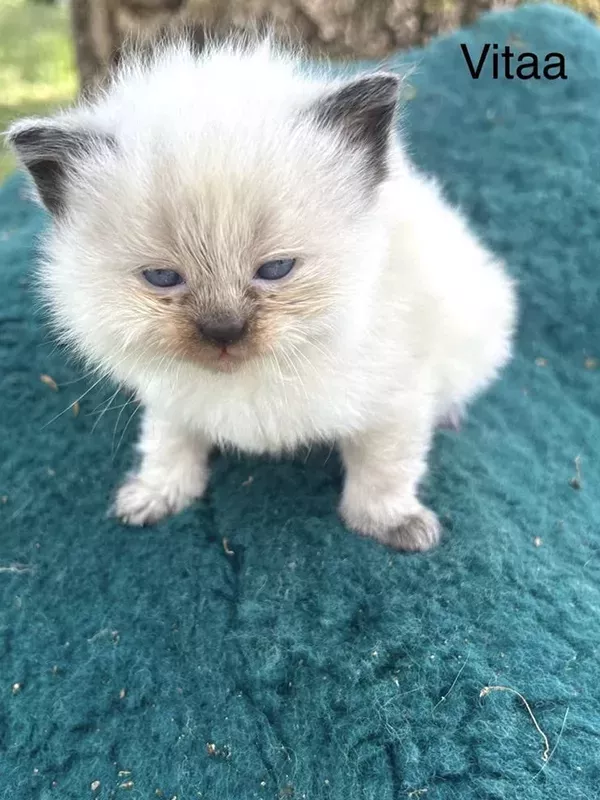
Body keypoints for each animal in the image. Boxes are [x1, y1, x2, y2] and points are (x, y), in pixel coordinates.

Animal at [7, 36, 516, 552]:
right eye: (162, 278)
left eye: (275, 270)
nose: (224, 332)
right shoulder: (171, 398)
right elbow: (168, 444)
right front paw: (157, 494)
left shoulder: (395, 401)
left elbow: (384, 470)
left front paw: (389, 523)